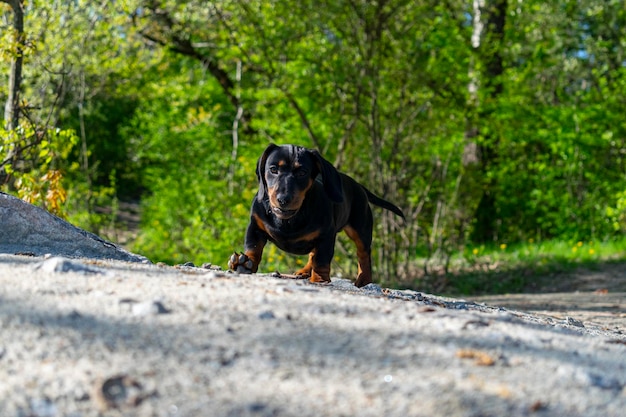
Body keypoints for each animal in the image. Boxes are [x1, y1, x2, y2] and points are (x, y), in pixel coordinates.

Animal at [227, 143, 402, 286]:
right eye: (273, 169)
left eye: (302, 173)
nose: (283, 199)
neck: (289, 220)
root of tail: (358, 185)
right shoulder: (255, 226)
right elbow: (253, 247)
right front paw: (245, 263)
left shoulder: (326, 236)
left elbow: (321, 259)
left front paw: (319, 279)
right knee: (312, 254)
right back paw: (304, 271)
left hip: (360, 229)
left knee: (363, 253)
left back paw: (364, 279)